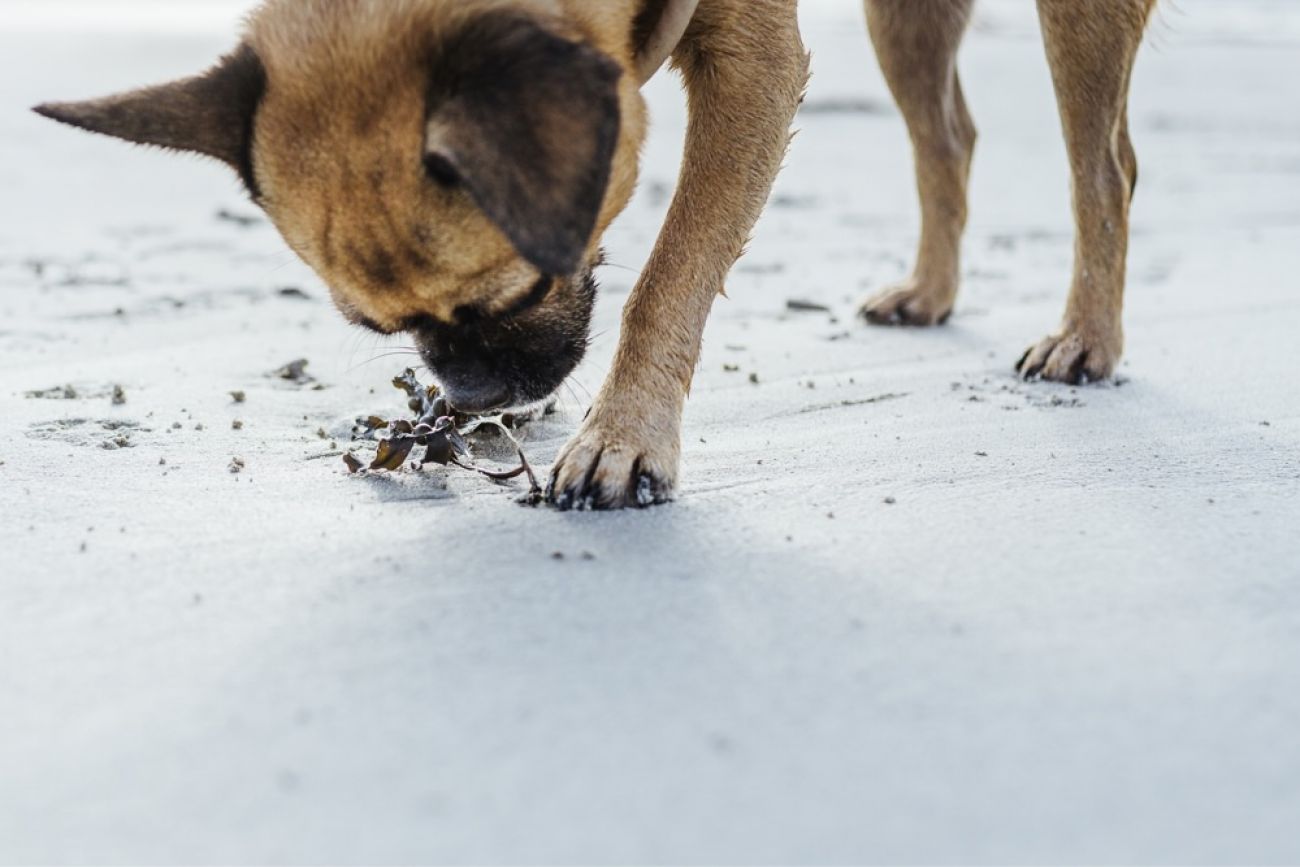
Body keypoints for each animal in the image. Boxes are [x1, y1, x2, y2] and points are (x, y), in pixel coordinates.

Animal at [30, 0, 1149, 509]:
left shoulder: (752, 67)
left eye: (518, 287)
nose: (470, 399)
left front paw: (623, 437)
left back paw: (1085, 336)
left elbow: (669, 277)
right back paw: (931, 289)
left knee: (1104, 168)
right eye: (383, 330)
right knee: (945, 136)